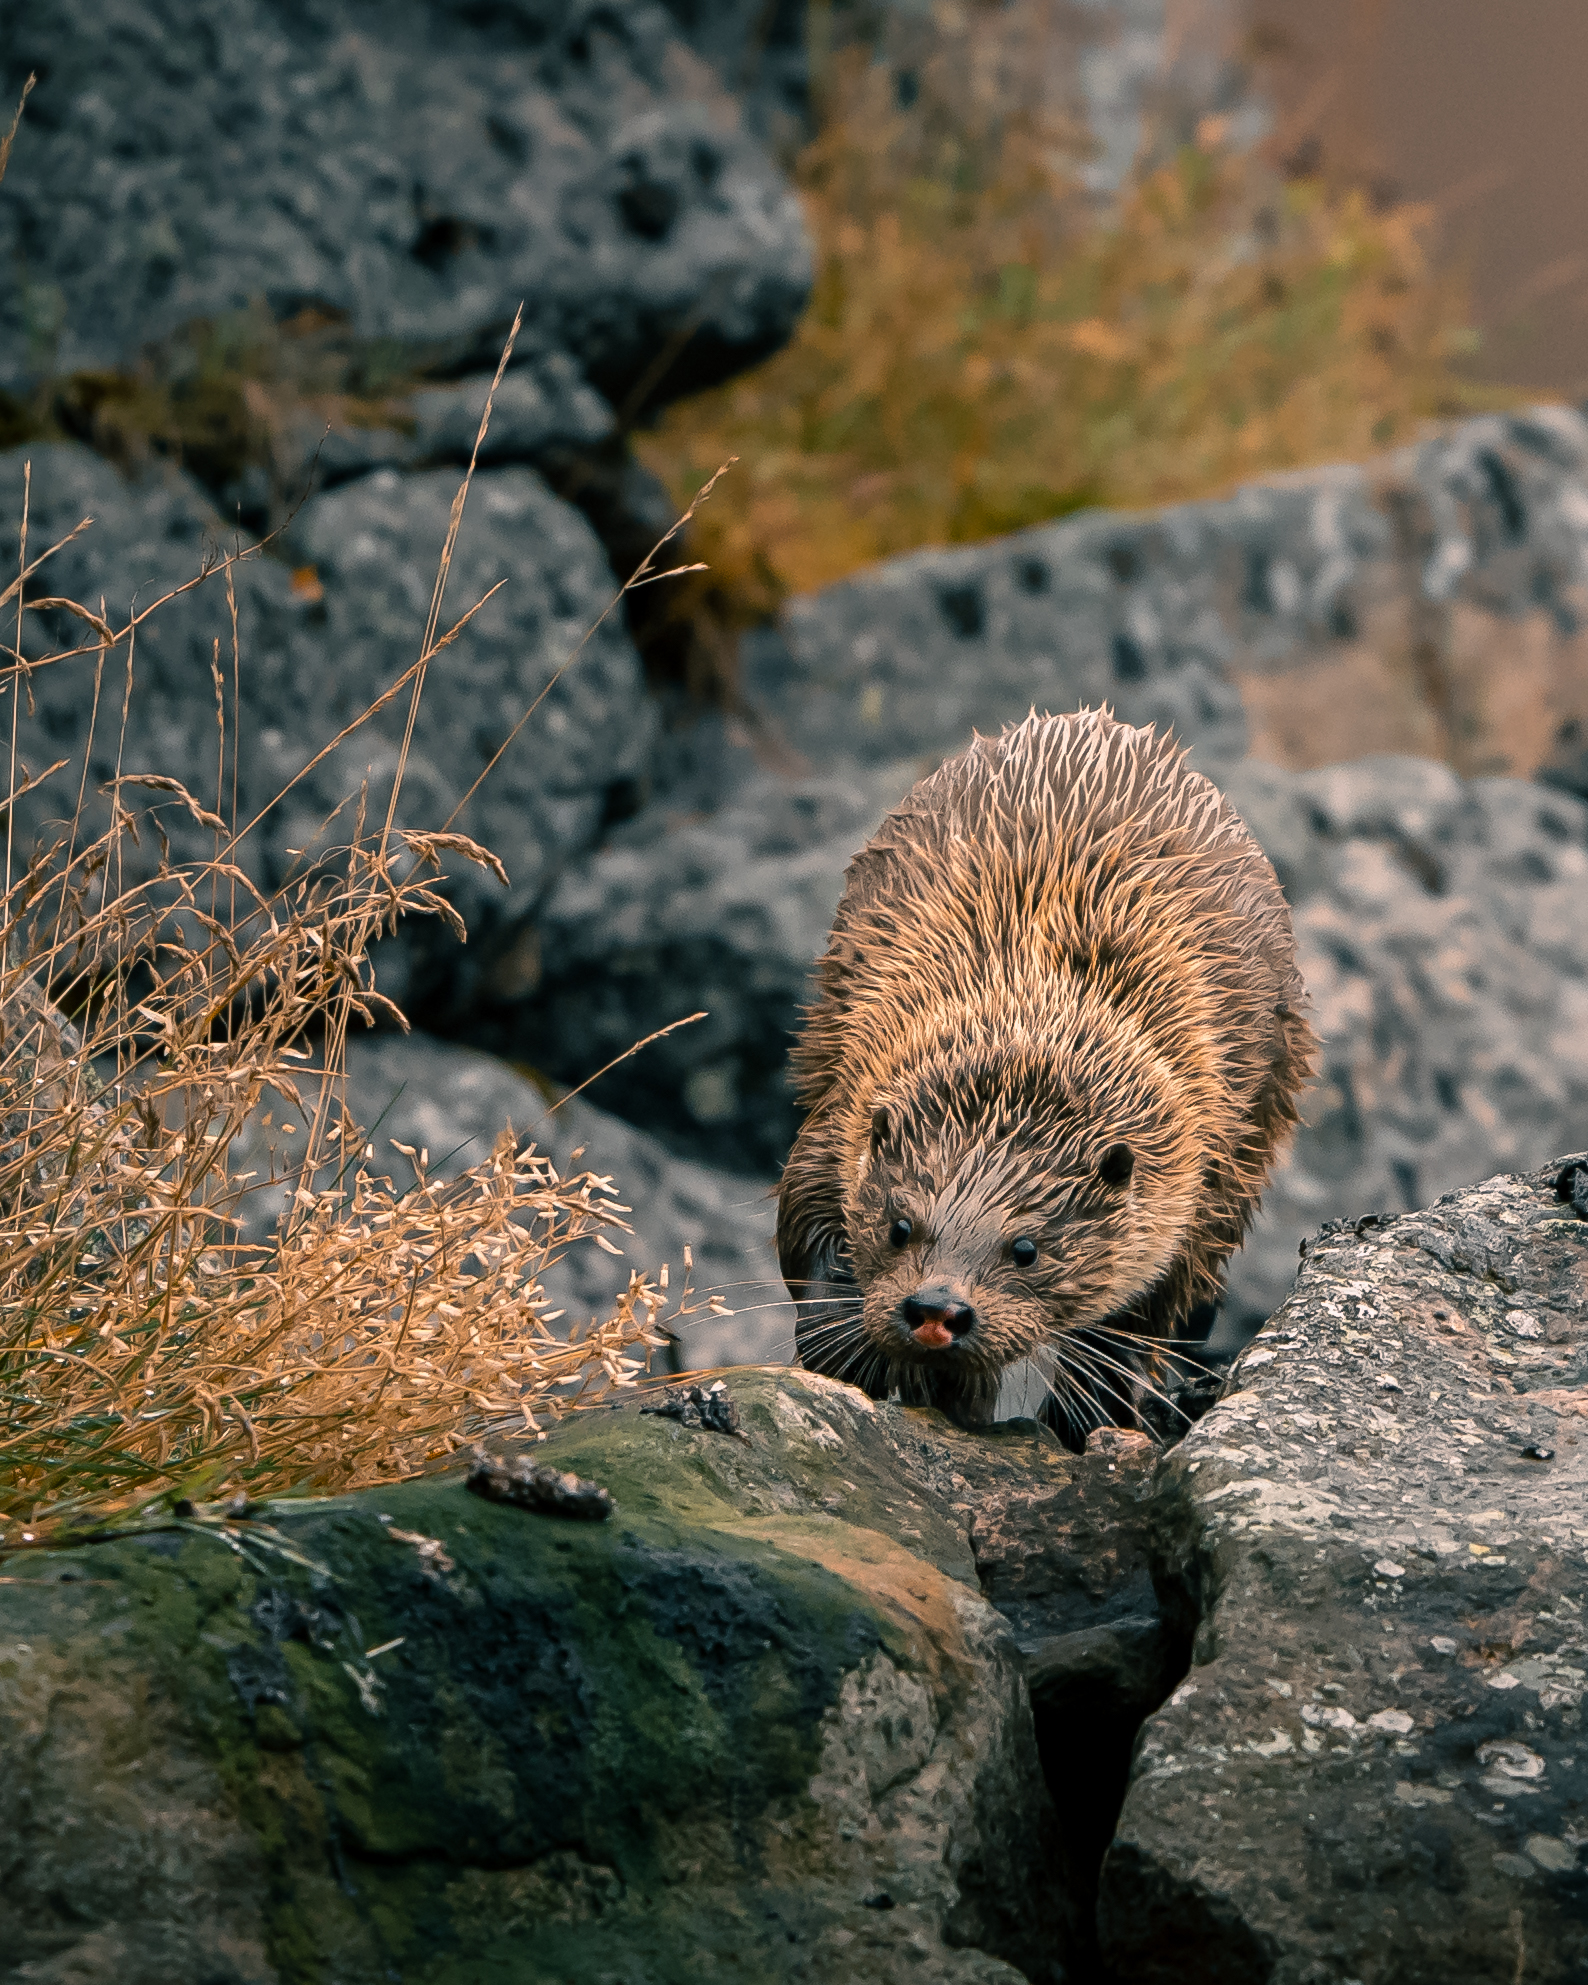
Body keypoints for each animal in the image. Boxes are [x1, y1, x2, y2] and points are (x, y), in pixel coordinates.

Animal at [776, 709, 1315, 1443]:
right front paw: (864, 1362)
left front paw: (1087, 1416)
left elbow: (1138, 1316)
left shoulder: (1192, 1177)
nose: (937, 1307)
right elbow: (805, 1229)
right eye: (899, 1227)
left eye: (1027, 1248)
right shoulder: (844, 1108)